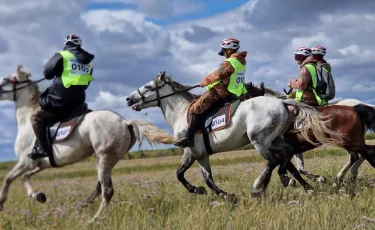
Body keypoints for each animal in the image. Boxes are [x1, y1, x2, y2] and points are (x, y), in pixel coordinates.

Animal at [0, 64, 175, 221]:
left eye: (6, 80)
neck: (26, 121)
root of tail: (125, 122)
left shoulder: (26, 162)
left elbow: (8, 179)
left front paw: (2, 203)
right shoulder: (41, 164)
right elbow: (25, 177)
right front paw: (38, 196)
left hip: (104, 158)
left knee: (107, 191)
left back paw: (94, 219)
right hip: (106, 159)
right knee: (99, 187)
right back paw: (80, 207)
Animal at [126, 72, 344, 198]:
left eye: (148, 87)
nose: (128, 99)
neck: (181, 112)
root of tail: (281, 102)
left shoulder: (190, 152)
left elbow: (179, 174)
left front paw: (197, 190)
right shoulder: (202, 155)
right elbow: (208, 178)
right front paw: (225, 195)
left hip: (259, 141)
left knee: (273, 161)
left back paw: (260, 187)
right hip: (276, 139)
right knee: (287, 155)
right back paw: (298, 184)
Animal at [245, 82, 375, 187]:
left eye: (248, 96)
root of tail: (356, 106)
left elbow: (291, 169)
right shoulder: (294, 150)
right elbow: (299, 168)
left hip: (346, 141)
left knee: (356, 156)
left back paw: (342, 179)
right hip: (353, 140)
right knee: (360, 155)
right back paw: (347, 178)